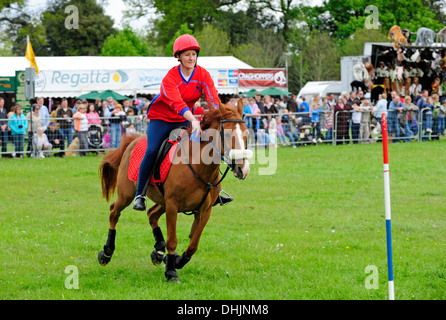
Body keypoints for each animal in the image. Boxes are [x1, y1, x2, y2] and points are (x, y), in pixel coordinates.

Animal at [97, 100, 251, 282]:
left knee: (151, 214)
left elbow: (193, 244)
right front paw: (171, 272)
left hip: (161, 200)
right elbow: (172, 240)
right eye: (227, 136)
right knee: (114, 212)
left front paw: (176, 261)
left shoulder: (204, 211)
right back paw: (107, 253)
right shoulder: (172, 206)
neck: (199, 165)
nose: (243, 170)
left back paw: (158, 250)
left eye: (246, 134)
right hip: (127, 194)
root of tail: (133, 140)